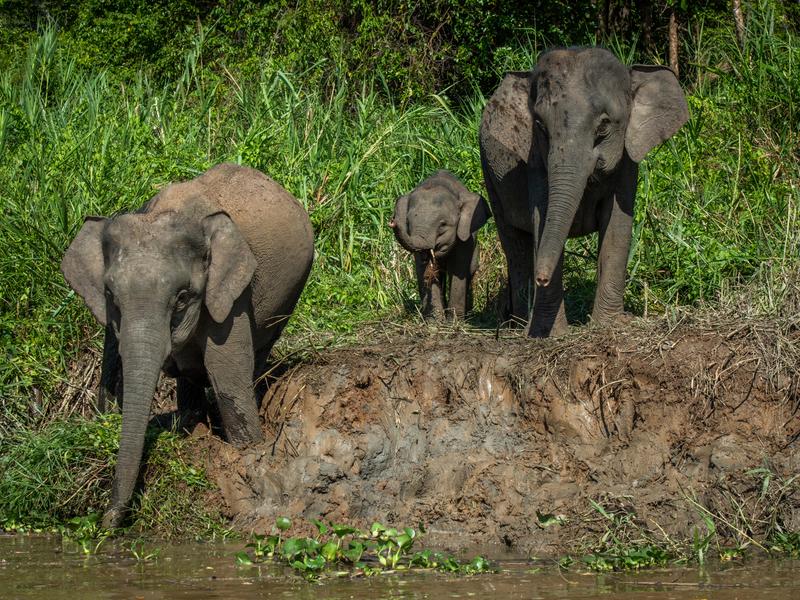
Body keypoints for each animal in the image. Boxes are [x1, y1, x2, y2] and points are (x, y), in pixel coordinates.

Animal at [61, 163, 314, 529]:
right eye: (111, 296)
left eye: (182, 298)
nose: (105, 523)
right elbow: (111, 363)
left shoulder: (229, 293)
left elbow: (228, 378)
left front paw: (249, 450)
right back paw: (190, 423)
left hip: (290, 293)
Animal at [389, 170, 490, 319]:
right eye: (408, 222)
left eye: (443, 225)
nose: (392, 221)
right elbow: (423, 269)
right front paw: (435, 321)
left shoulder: (465, 237)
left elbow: (458, 268)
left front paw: (454, 321)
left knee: (470, 271)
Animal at [480, 47, 688, 336]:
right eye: (540, 126)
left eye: (603, 126)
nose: (542, 278)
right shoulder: (536, 162)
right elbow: (541, 219)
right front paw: (549, 334)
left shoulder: (627, 161)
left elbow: (617, 223)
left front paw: (609, 324)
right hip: (490, 174)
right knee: (515, 244)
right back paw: (519, 326)